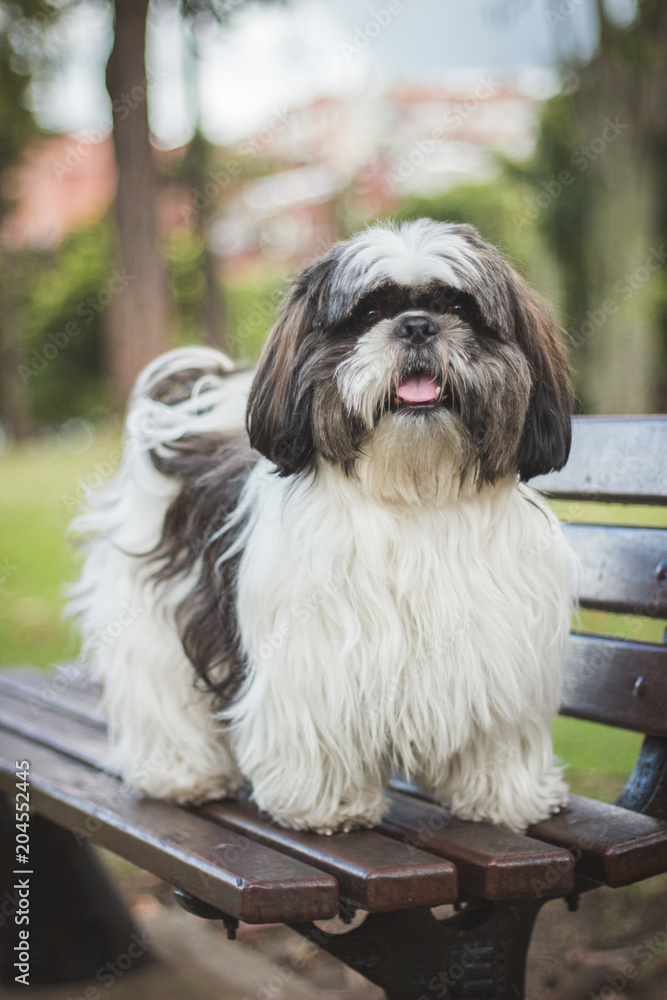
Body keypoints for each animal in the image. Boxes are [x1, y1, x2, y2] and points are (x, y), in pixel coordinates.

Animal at [69, 221, 576, 836]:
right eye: (368, 312)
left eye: (458, 306)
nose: (416, 325)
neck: (415, 494)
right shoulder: (314, 655)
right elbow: (318, 730)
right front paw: (329, 806)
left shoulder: (499, 651)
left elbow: (498, 733)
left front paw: (503, 794)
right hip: (152, 616)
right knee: (161, 693)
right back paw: (183, 774)